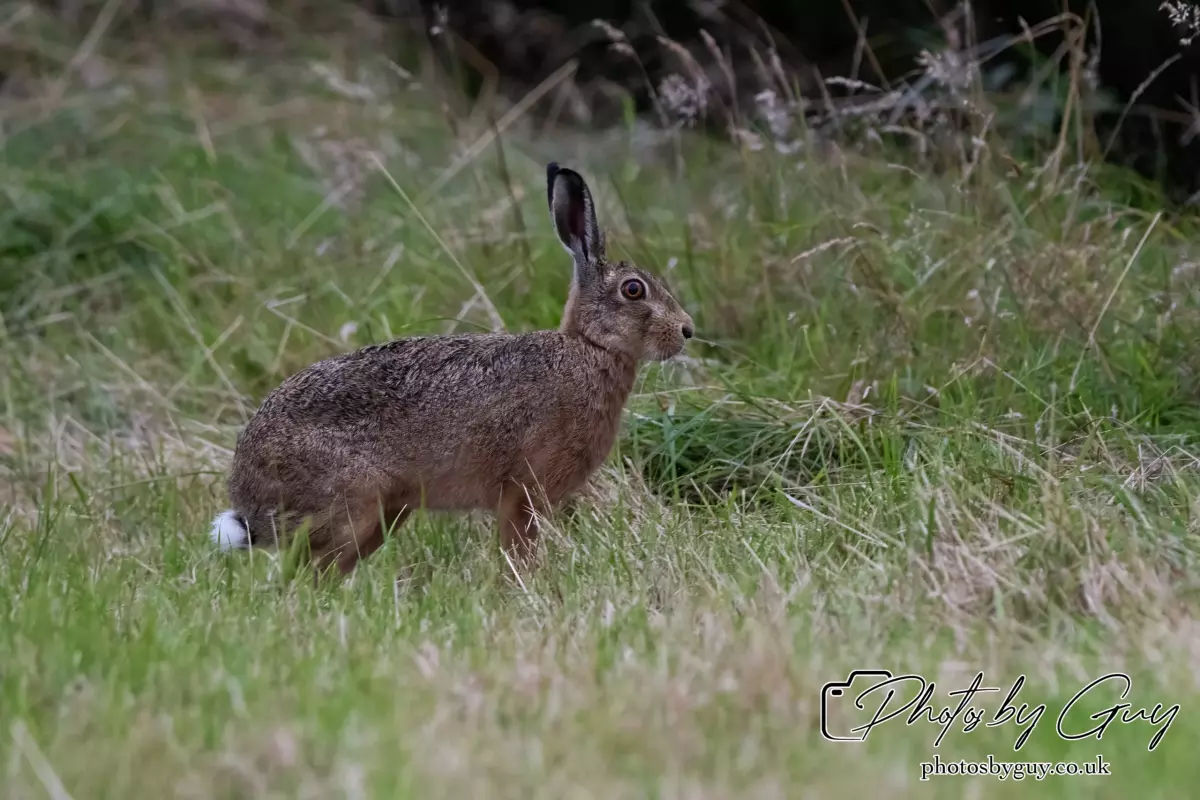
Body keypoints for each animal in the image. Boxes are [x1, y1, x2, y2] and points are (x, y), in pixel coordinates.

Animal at [209, 162, 694, 576]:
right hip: (351, 504)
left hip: (384, 515)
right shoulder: (522, 494)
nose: (686, 330)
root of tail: (247, 489)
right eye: (634, 290)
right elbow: (517, 554)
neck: (589, 347)